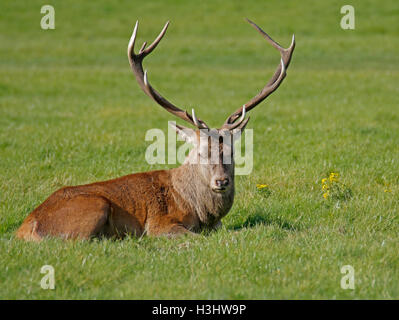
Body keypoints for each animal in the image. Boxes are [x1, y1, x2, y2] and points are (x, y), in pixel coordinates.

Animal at [15, 18, 296, 241]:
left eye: (232, 151)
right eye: (201, 152)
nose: (221, 181)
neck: (201, 212)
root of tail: (24, 229)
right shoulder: (159, 224)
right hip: (94, 205)